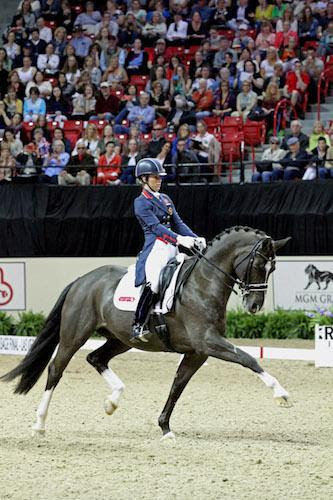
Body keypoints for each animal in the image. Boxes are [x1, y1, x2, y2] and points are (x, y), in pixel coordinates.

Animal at [0, 225, 290, 440]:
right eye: (258, 265)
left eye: (273, 268)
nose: (254, 306)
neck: (203, 284)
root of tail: (82, 280)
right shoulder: (208, 342)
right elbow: (247, 359)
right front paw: (281, 394)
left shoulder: (197, 353)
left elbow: (178, 386)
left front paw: (165, 428)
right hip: (74, 335)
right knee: (56, 370)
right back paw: (39, 425)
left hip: (121, 339)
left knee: (95, 358)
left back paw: (112, 402)